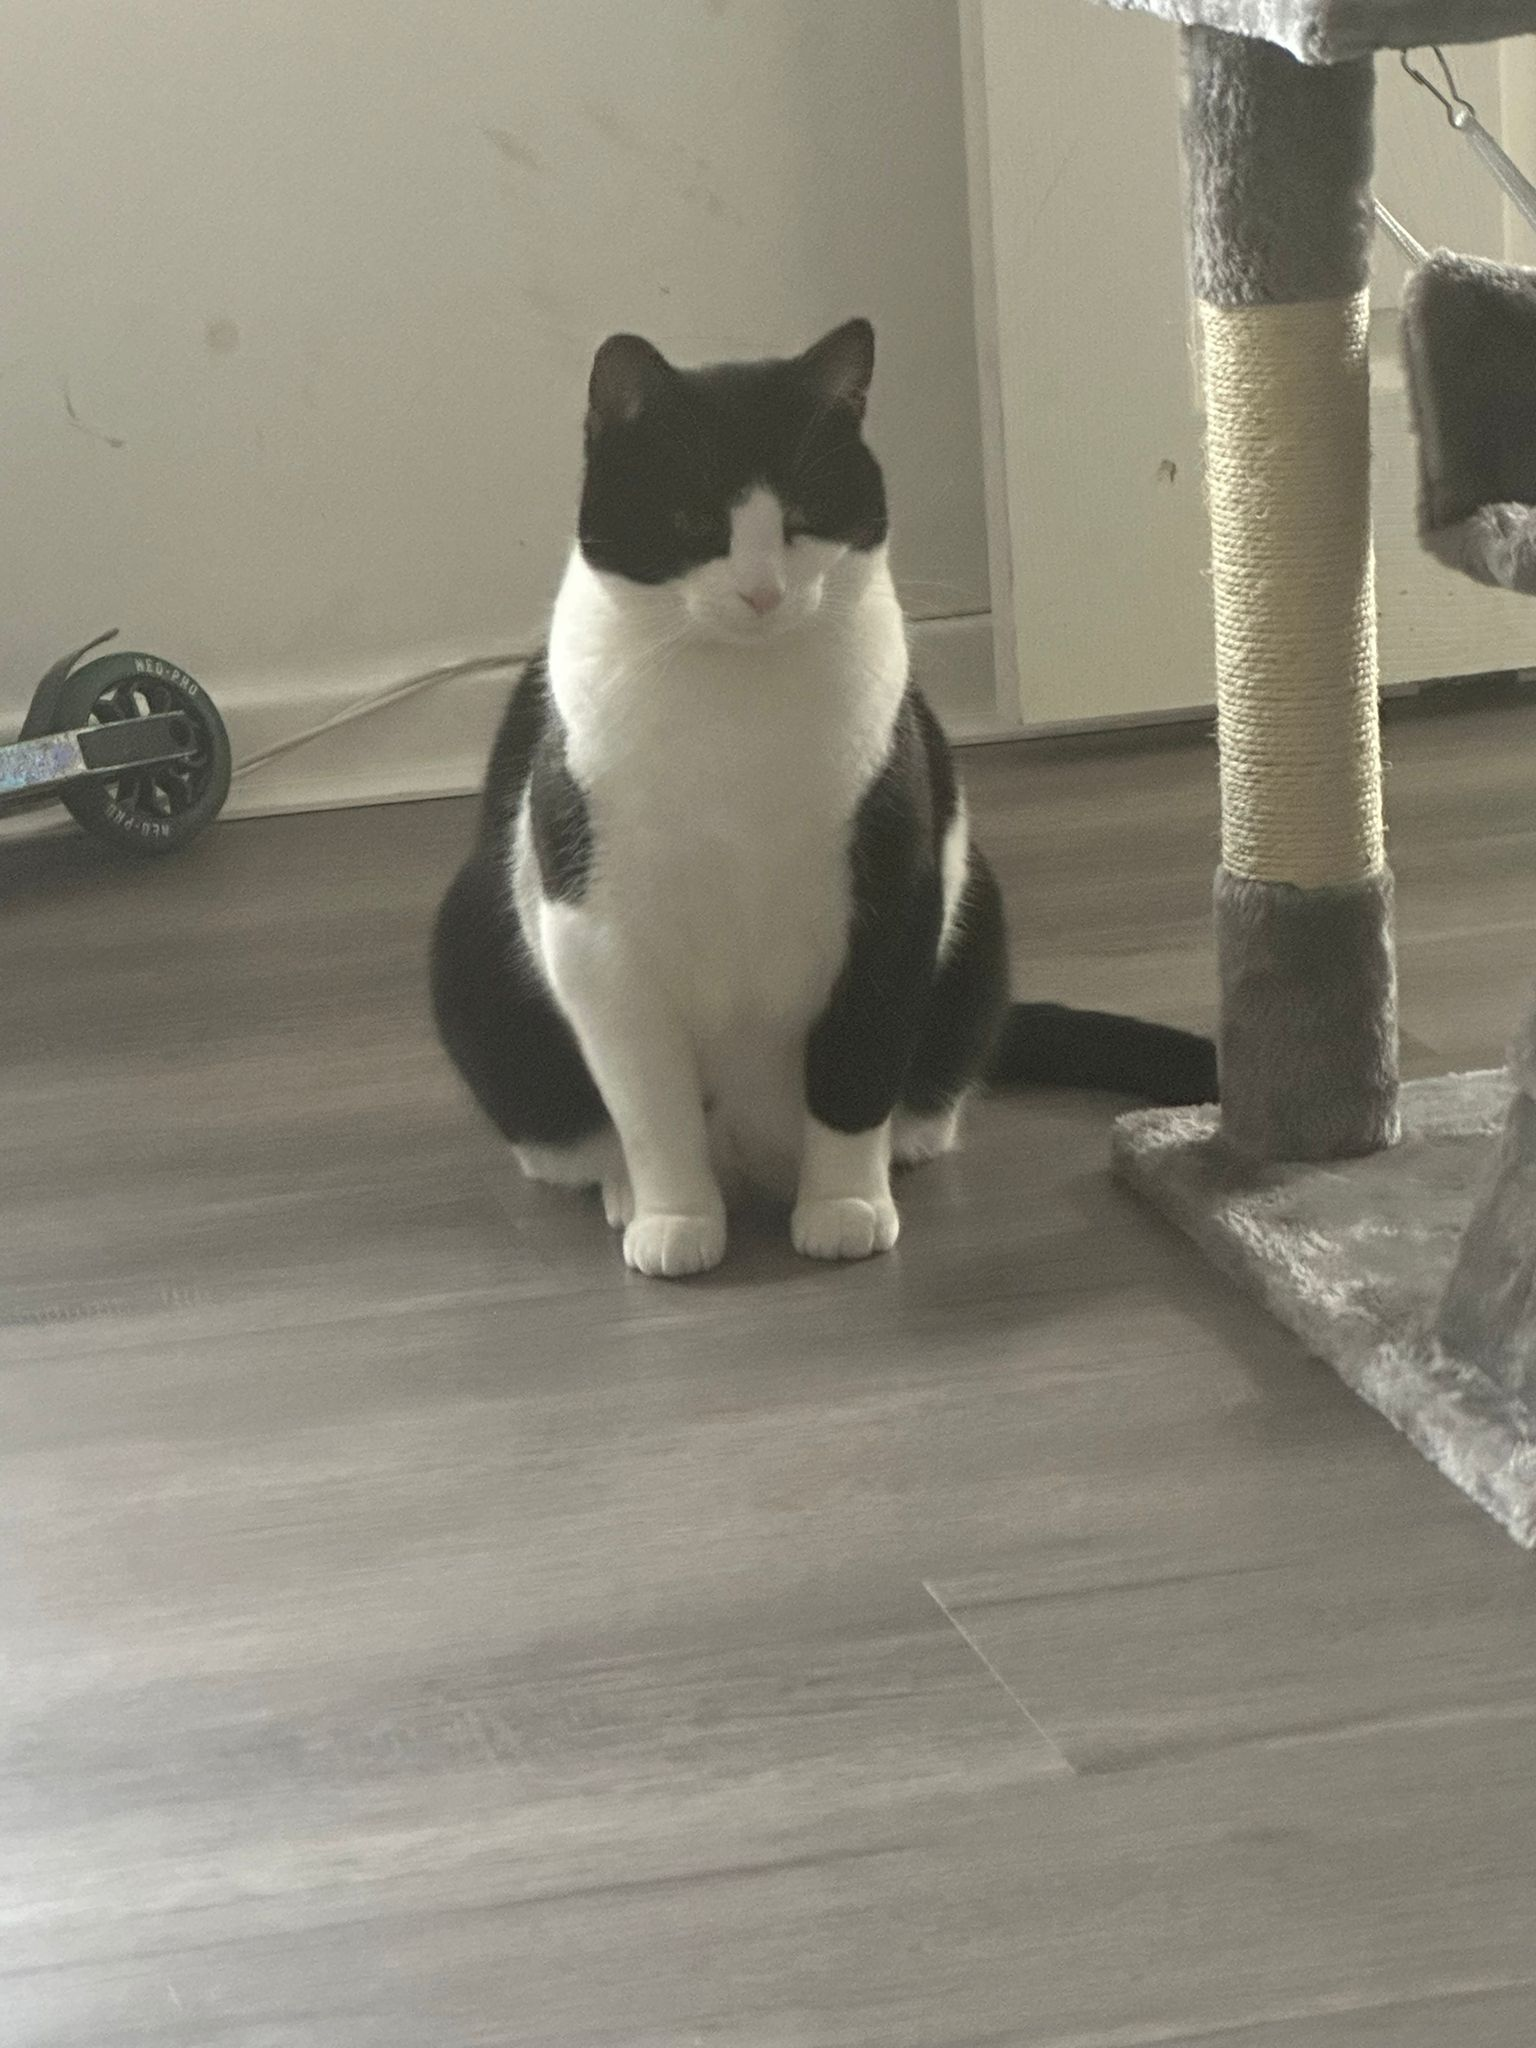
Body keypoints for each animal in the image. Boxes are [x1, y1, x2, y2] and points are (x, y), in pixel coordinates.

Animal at [431, 319, 1215, 1278]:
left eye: (805, 514)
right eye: (694, 519)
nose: (762, 590)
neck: (737, 719)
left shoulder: (893, 897)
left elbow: (855, 1066)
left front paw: (843, 1207)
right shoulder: (596, 937)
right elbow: (651, 1109)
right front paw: (675, 1219)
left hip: (977, 917)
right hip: (471, 943)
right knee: (582, 1135)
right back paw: (621, 1190)